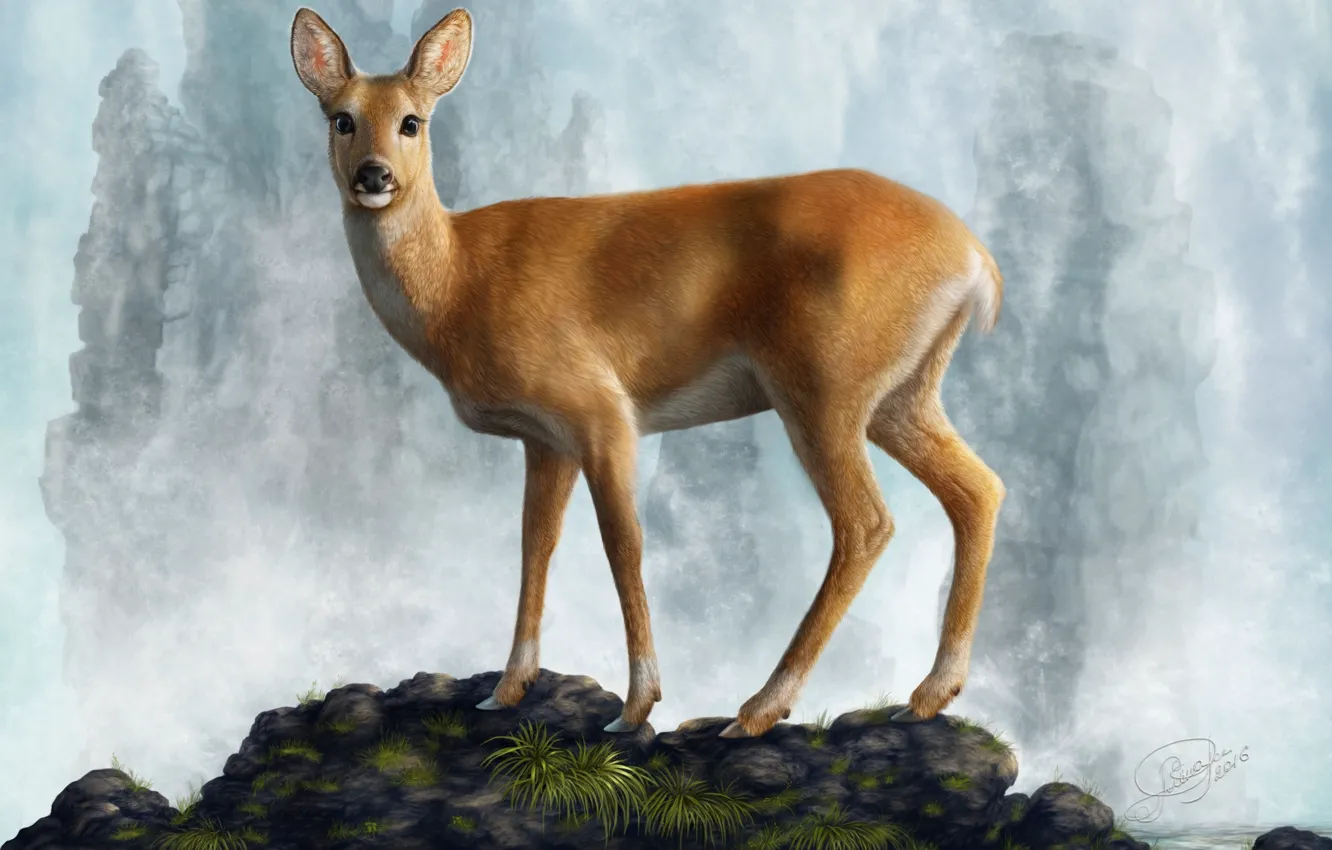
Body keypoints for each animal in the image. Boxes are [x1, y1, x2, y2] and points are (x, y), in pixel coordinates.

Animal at [289, 6, 1006, 738]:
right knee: (979, 489)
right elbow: (534, 545)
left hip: (824, 383)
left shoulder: (600, 406)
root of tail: (977, 261)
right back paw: (929, 693)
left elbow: (623, 543)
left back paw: (759, 707)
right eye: (341, 118)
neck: (461, 281)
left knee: (867, 522)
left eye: (413, 121)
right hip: (902, 393)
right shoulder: (545, 438)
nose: (373, 175)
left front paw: (637, 704)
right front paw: (508, 689)